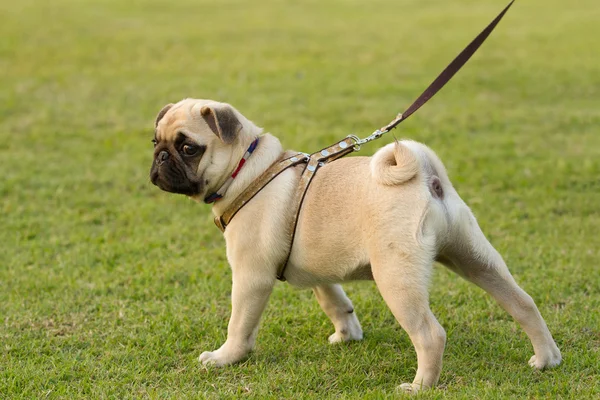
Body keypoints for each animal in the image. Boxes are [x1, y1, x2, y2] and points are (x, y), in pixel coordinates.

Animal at [150, 98, 564, 392]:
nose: (160, 158)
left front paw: (225, 357)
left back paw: (419, 386)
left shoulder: (251, 276)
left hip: (396, 278)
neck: (248, 170)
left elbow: (240, 324)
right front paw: (347, 333)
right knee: (522, 302)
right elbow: (333, 299)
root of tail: (425, 177)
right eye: (156, 141)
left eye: (188, 148)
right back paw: (546, 359)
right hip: (474, 256)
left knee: (430, 335)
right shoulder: (314, 268)